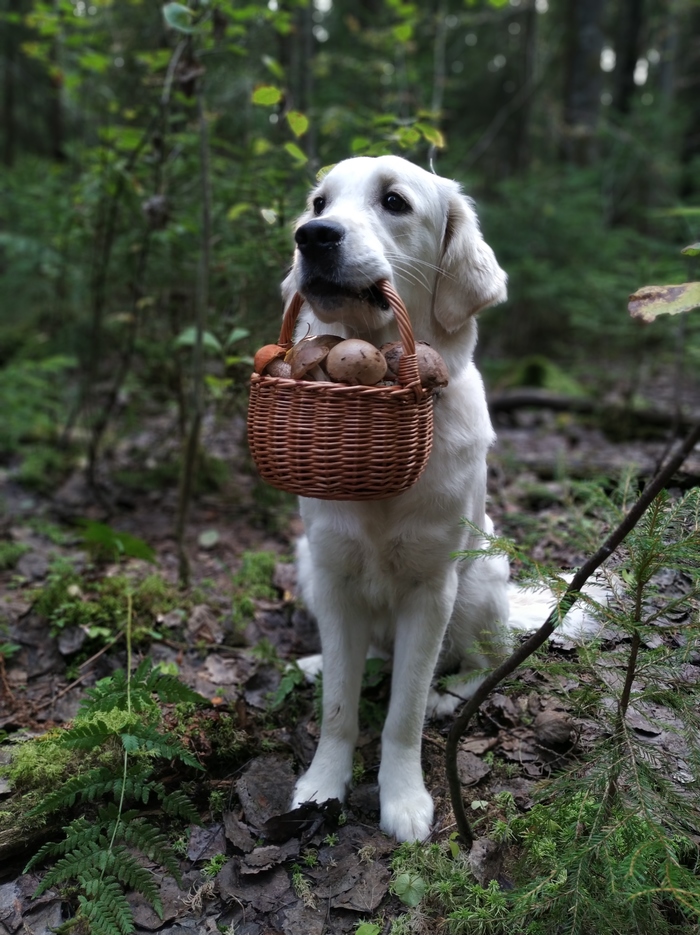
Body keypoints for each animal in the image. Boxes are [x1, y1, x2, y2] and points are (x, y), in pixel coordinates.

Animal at [284, 157, 508, 844]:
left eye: (394, 202)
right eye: (318, 202)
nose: (312, 236)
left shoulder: (431, 590)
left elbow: (402, 713)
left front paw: (403, 797)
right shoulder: (332, 574)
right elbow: (339, 708)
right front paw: (320, 788)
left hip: (484, 574)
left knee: (486, 658)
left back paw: (450, 693)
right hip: (306, 564)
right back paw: (310, 662)